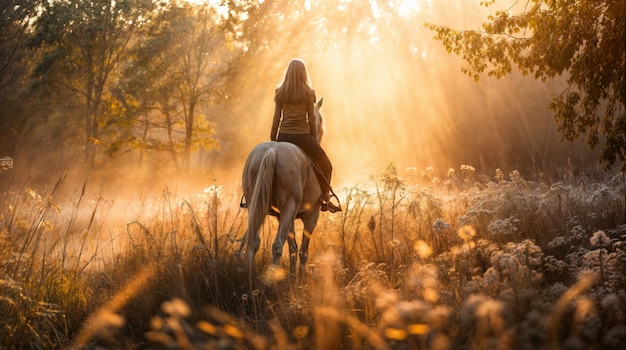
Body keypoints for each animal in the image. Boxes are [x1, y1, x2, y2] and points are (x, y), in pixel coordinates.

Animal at [238, 96, 326, 282]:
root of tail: (272, 151)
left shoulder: (286, 216)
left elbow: (292, 247)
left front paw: (293, 279)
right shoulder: (311, 215)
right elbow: (302, 251)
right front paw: (300, 279)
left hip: (258, 206)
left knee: (253, 242)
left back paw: (250, 278)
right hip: (289, 207)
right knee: (277, 245)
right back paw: (269, 282)